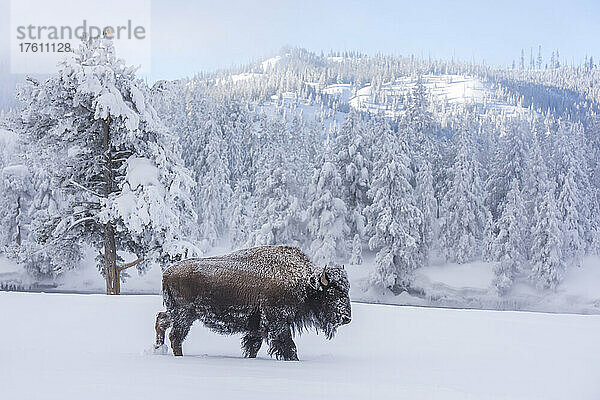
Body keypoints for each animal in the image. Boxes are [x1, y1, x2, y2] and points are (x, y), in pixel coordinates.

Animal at [154, 245, 352, 360]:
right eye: (332, 292)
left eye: (347, 290)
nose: (346, 318)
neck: (303, 282)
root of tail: (167, 273)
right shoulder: (278, 323)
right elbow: (289, 346)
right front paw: (294, 360)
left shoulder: (256, 327)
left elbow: (253, 347)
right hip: (185, 314)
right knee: (176, 336)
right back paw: (179, 357)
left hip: (176, 312)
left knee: (161, 320)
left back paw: (158, 348)